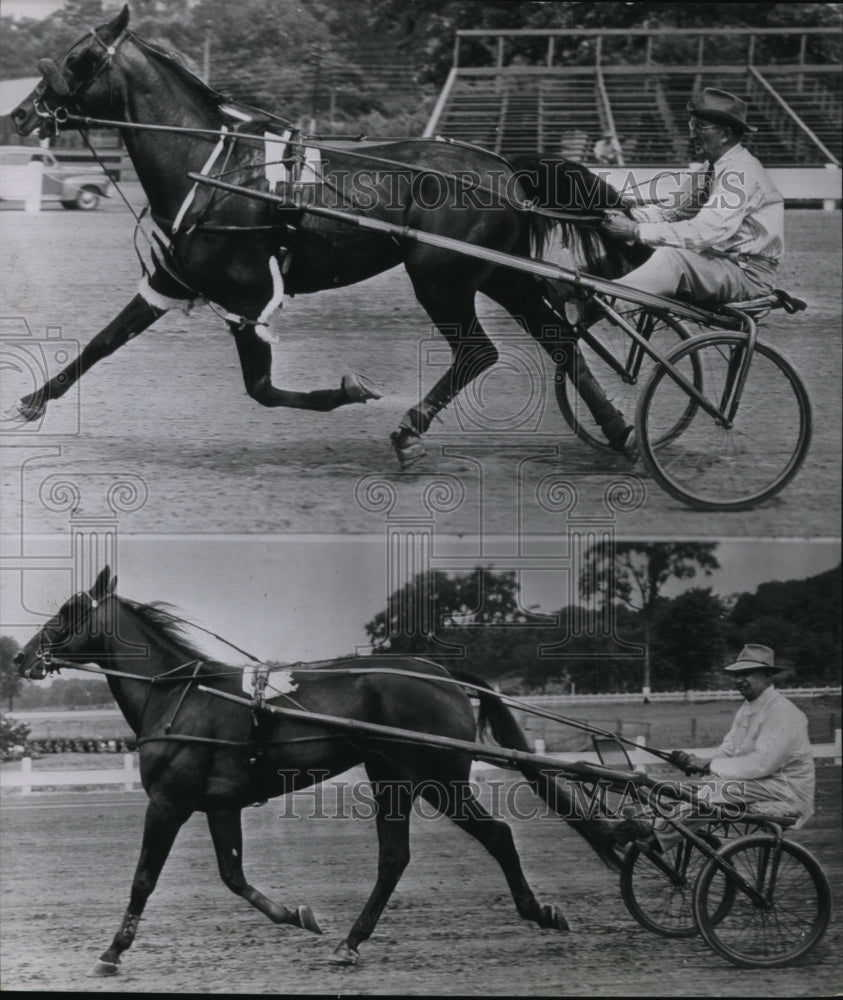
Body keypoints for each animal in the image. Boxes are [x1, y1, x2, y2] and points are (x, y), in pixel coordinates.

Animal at [9, 4, 644, 464]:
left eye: (79, 57)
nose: (19, 114)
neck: (215, 169)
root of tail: (505, 168)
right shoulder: (170, 281)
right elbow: (103, 342)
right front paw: (34, 400)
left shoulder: (247, 297)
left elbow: (262, 389)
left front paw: (353, 390)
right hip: (500, 275)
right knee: (559, 342)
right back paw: (618, 432)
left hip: (440, 276)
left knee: (478, 352)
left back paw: (409, 429)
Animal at [16, 568, 624, 972]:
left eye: (67, 612)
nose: (22, 657)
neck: (185, 697)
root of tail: (445, 675)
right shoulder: (219, 805)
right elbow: (234, 877)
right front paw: (300, 915)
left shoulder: (169, 802)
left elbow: (144, 878)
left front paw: (112, 951)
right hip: (395, 779)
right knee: (406, 854)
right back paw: (356, 940)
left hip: (437, 778)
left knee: (489, 836)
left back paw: (530, 913)